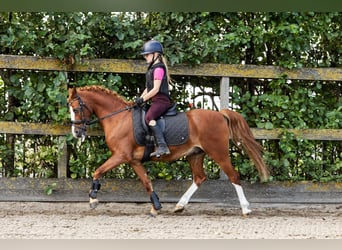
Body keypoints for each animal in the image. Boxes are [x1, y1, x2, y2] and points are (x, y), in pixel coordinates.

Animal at [67, 85, 270, 215]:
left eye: (76, 109)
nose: (76, 133)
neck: (118, 118)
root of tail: (220, 114)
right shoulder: (133, 160)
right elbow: (147, 182)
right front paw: (156, 206)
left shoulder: (121, 156)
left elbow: (98, 171)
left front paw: (93, 198)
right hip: (195, 154)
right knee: (199, 178)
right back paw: (179, 206)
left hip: (218, 153)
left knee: (234, 176)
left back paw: (246, 208)